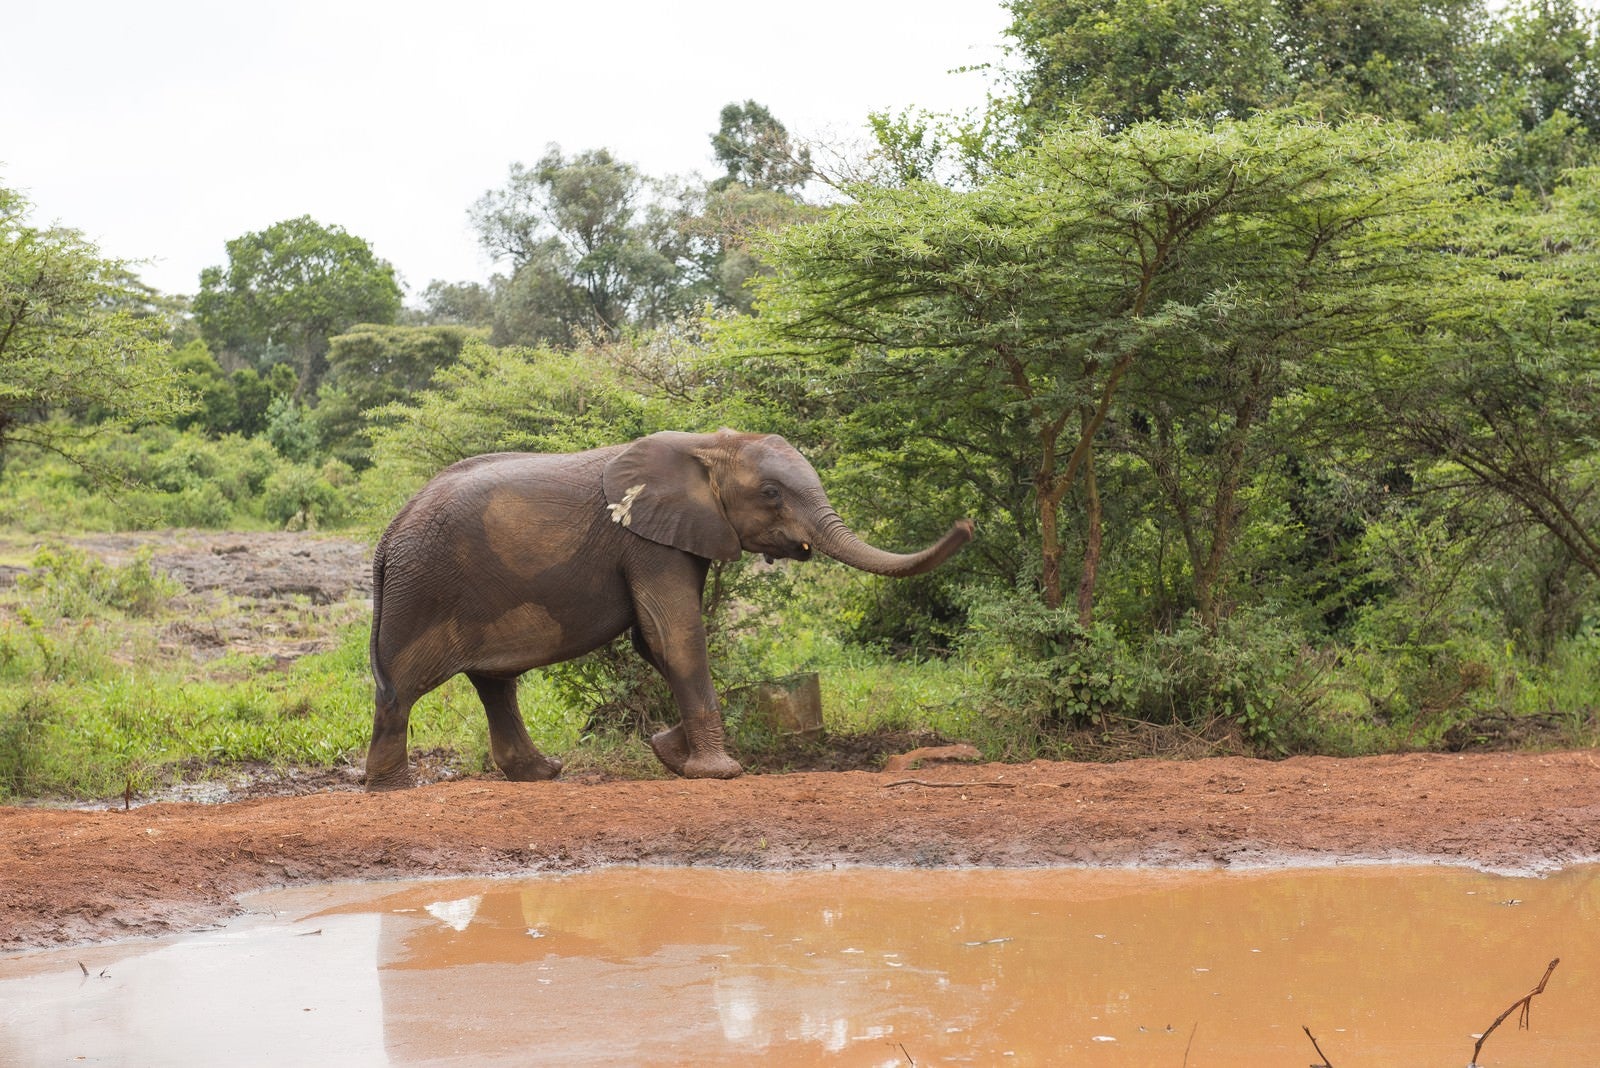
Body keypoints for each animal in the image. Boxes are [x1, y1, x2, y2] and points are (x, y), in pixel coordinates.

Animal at [364, 428, 972, 789]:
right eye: (771, 494)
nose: (966, 523)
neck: (706, 444)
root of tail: (387, 536)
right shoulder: (648, 541)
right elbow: (673, 634)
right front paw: (720, 772)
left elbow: (654, 640)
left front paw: (667, 753)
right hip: (425, 590)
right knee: (403, 686)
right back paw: (392, 787)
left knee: (495, 684)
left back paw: (541, 774)